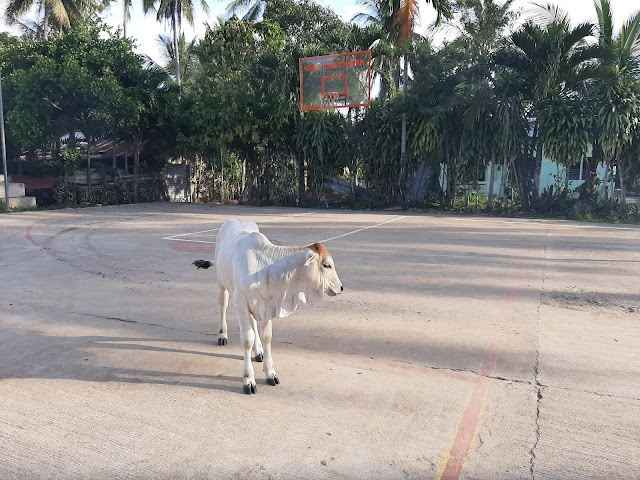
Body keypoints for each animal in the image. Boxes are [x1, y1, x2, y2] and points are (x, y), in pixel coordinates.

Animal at [193, 218, 343, 394]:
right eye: (327, 265)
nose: (341, 287)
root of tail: (234, 219)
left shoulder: (267, 305)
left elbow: (266, 337)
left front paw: (270, 373)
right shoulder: (241, 302)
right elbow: (247, 339)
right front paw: (248, 380)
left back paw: (258, 351)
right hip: (221, 283)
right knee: (223, 304)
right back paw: (222, 335)